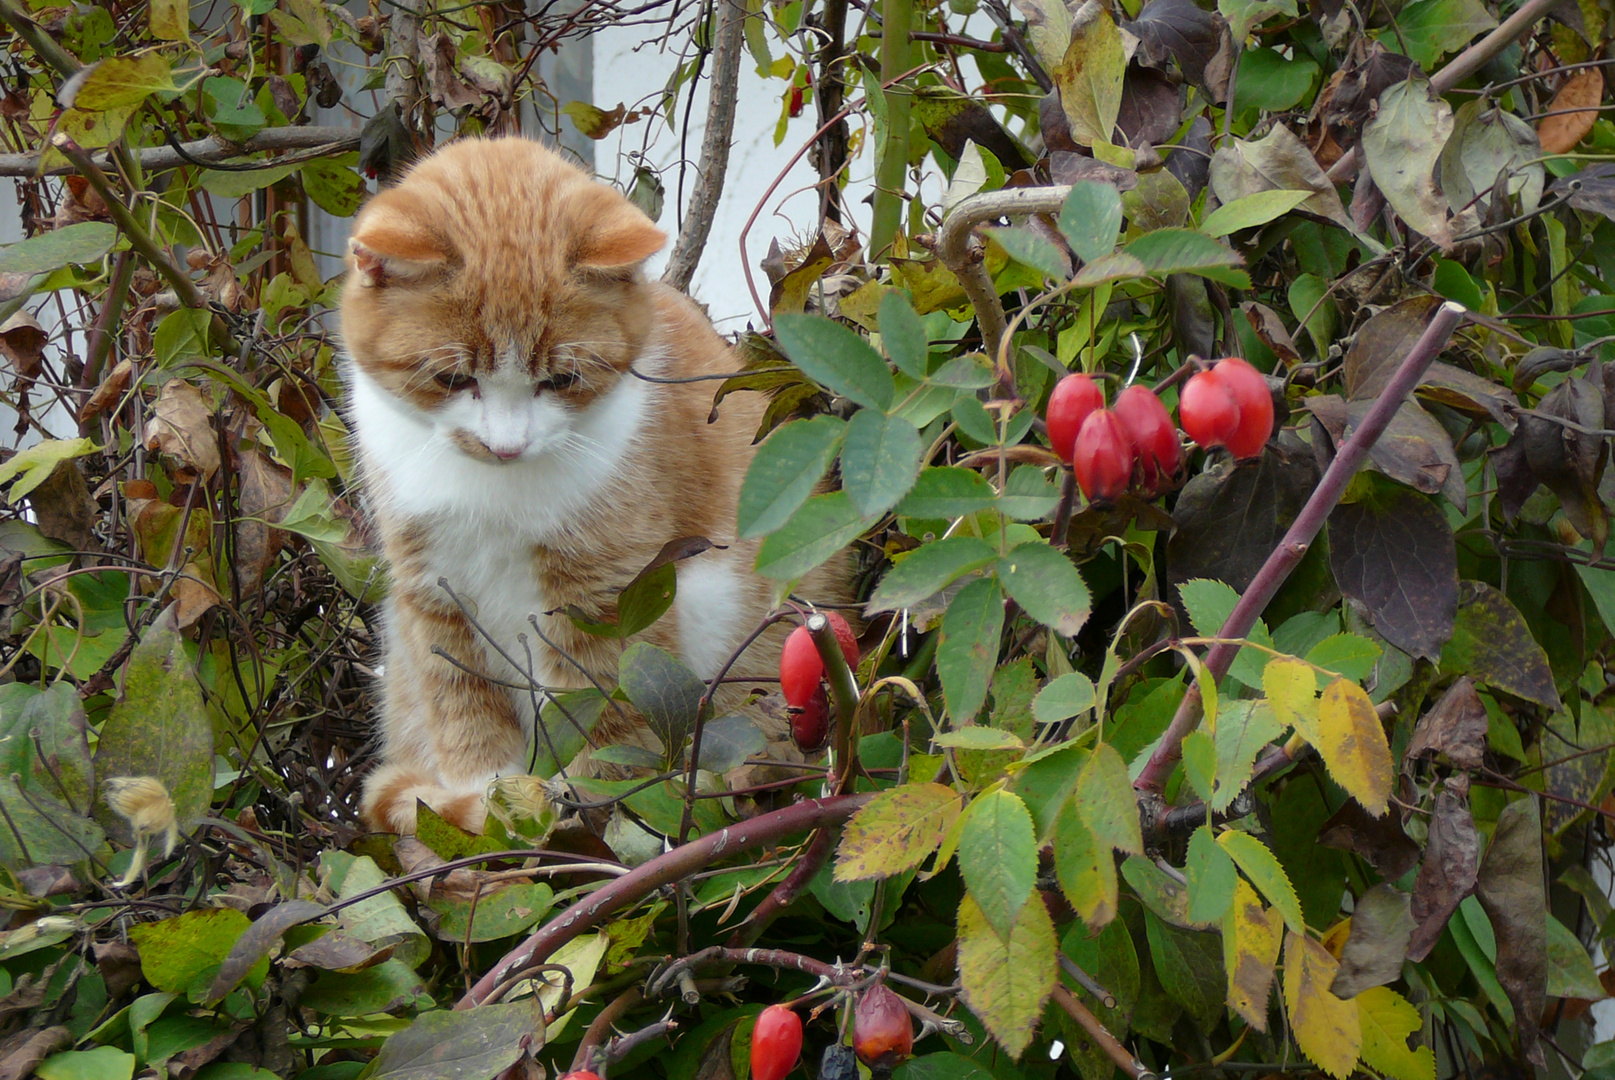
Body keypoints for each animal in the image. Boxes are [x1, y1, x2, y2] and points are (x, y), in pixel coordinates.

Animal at [340, 132, 846, 826]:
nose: (506, 446)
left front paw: (594, 806)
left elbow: (601, 706)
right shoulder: (431, 594)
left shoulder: (605, 591)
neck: (492, 494)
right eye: (451, 379)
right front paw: (488, 809)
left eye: (561, 380)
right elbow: (464, 709)